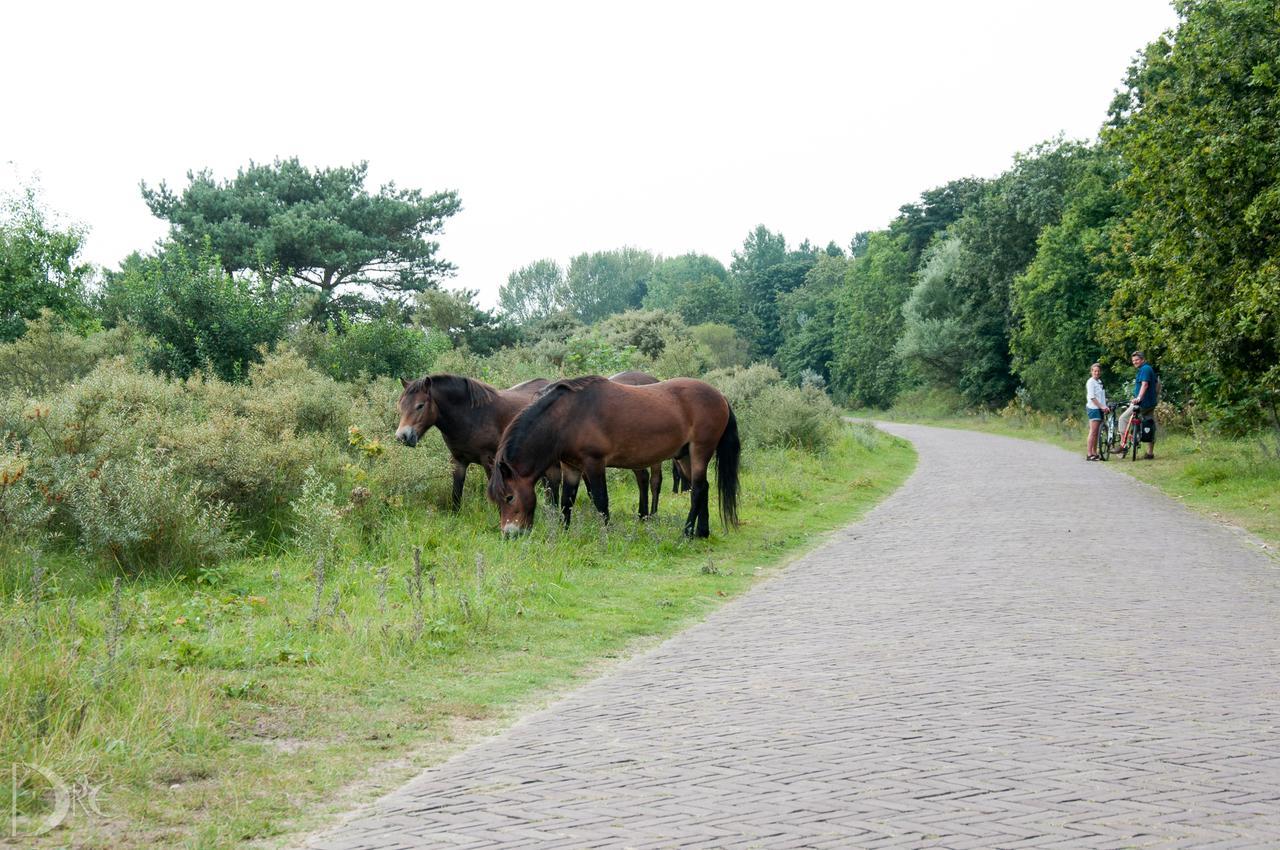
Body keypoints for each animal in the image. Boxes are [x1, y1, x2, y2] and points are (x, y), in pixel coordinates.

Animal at [394, 376, 555, 506]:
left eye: (420, 405)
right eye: (401, 405)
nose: (402, 437)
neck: (471, 416)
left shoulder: (490, 461)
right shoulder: (458, 461)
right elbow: (456, 494)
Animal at [483, 376, 742, 537]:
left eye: (509, 497)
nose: (509, 535)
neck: (567, 418)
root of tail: (720, 396)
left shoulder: (594, 464)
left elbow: (601, 500)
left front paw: (605, 534)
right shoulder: (571, 467)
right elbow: (567, 501)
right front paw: (564, 534)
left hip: (700, 450)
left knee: (697, 490)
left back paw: (687, 532)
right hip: (684, 456)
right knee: (703, 487)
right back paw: (702, 532)